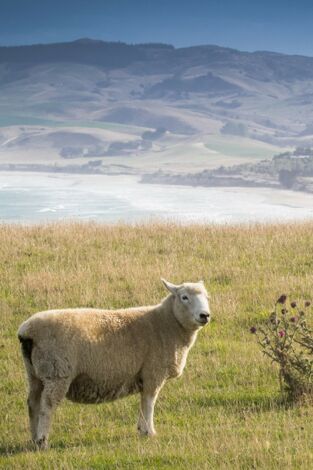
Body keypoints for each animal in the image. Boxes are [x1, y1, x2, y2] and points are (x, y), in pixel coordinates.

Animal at [18, 278, 211, 450]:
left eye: (207, 297)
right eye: (184, 297)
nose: (205, 315)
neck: (168, 324)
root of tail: (26, 332)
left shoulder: (145, 375)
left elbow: (143, 403)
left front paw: (142, 430)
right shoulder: (153, 373)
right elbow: (149, 403)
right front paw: (149, 432)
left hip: (35, 373)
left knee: (33, 404)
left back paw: (34, 439)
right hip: (57, 372)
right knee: (47, 406)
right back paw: (42, 441)